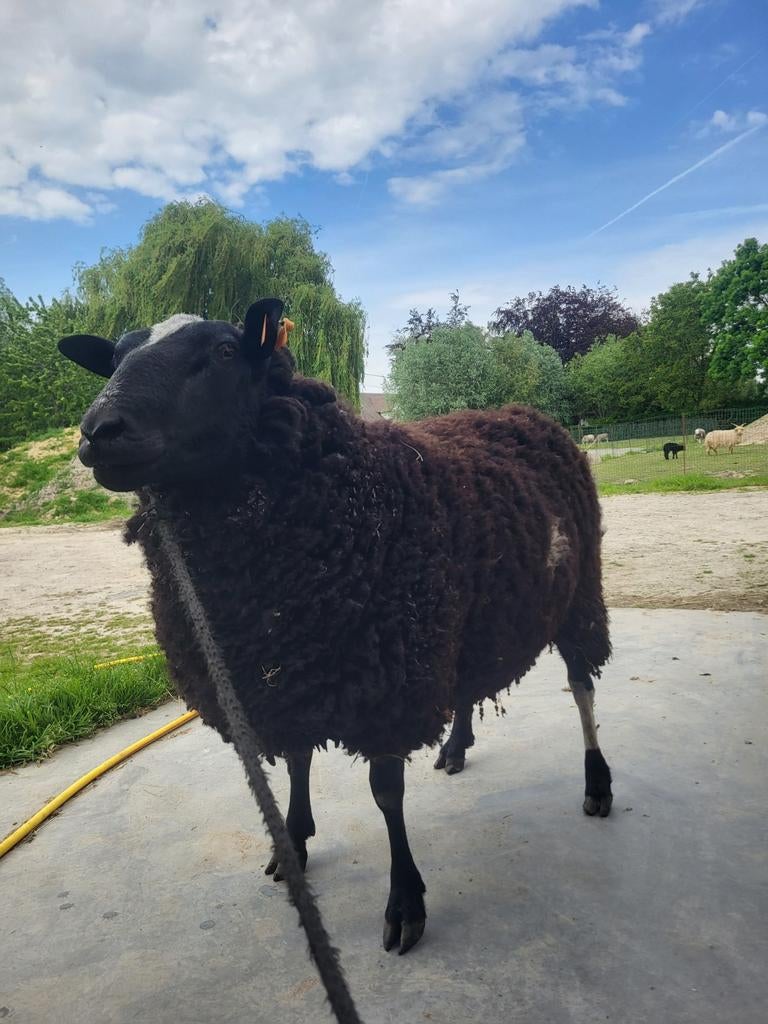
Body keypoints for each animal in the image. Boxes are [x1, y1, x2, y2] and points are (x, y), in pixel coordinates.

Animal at [58, 299, 614, 956]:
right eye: (114, 358)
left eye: (224, 351)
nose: (99, 431)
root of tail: (527, 413)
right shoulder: (291, 668)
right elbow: (298, 760)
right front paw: (294, 846)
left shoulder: (387, 680)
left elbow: (385, 793)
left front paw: (405, 902)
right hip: (464, 622)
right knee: (468, 684)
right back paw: (455, 748)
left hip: (577, 593)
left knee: (582, 687)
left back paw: (597, 784)